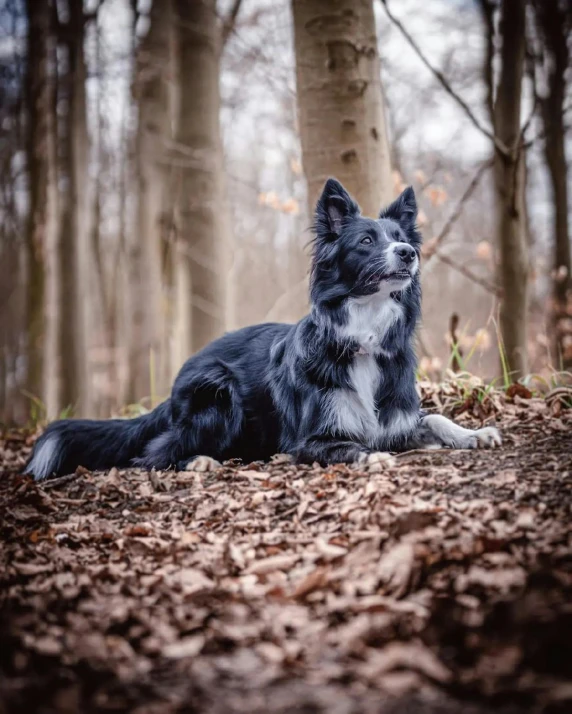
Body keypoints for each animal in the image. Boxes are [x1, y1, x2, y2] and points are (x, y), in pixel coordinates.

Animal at [25, 177, 500, 478]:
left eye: (401, 237)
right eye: (366, 241)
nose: (407, 253)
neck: (361, 336)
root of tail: (182, 373)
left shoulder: (396, 422)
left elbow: (434, 417)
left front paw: (474, 433)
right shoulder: (313, 439)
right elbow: (351, 445)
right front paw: (372, 458)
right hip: (218, 391)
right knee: (153, 455)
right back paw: (199, 461)